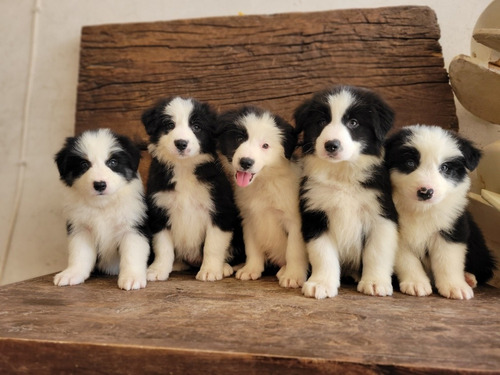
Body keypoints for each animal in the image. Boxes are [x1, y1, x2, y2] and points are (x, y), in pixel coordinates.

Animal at [54, 129, 149, 290]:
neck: (103, 206)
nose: (99, 185)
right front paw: (72, 274)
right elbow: (79, 254)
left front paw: (132, 278)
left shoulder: (133, 228)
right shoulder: (81, 229)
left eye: (113, 162)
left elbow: (132, 254)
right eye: (84, 164)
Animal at [142, 97, 241, 282]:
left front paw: (210, 270)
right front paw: (158, 270)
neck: (184, 168)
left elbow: (212, 245)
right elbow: (163, 247)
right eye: (169, 125)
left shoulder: (219, 209)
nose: (181, 143)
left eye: (196, 126)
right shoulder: (160, 211)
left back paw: (225, 267)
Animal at [218, 107, 310, 290]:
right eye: (239, 138)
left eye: (265, 145)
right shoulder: (249, 219)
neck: (264, 182)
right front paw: (251, 269)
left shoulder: (294, 221)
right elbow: (252, 248)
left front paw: (293, 276)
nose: (246, 162)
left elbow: (294, 250)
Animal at [292, 84, 398, 300]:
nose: (331, 145)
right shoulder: (315, 215)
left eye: (353, 122)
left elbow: (377, 252)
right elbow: (322, 254)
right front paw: (321, 284)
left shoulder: (381, 214)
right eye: (321, 122)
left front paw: (375, 282)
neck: (341, 175)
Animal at [382, 125, 496, 302]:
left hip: (478, 246)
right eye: (410, 163)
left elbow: (448, 260)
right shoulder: (397, 232)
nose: (425, 192)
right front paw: (416, 283)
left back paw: (468, 278)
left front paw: (455, 287)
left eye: (445, 168)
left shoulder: (452, 228)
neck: (420, 210)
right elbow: (407, 260)